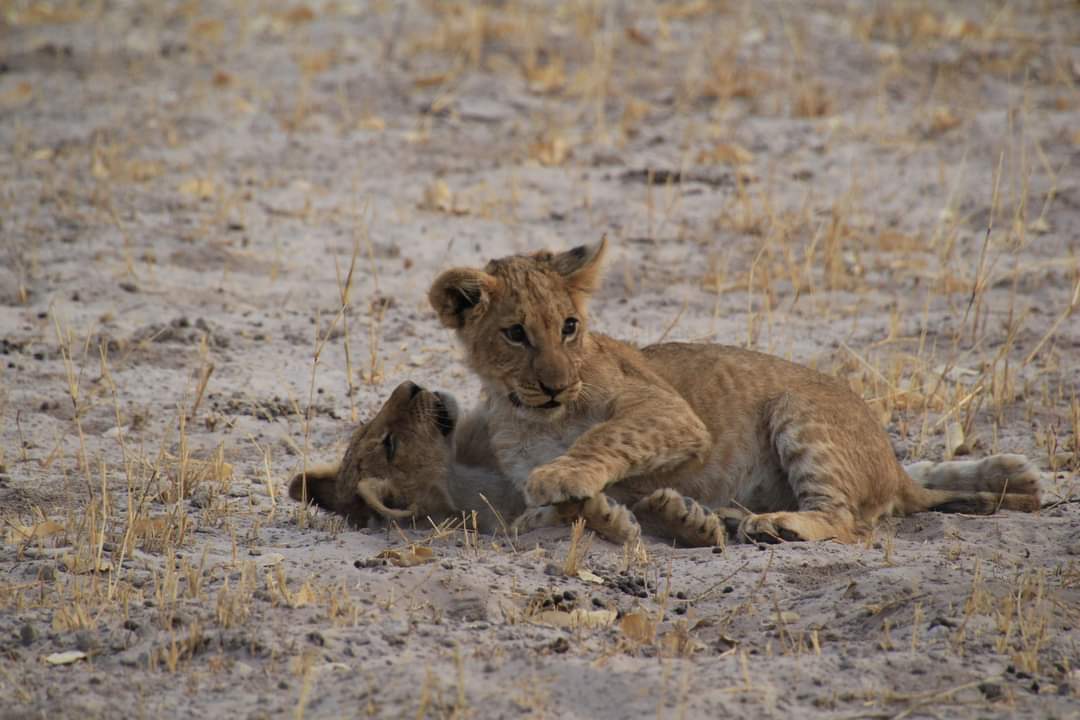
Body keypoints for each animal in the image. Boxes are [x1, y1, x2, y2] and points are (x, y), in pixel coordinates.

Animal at [427, 237, 1041, 544]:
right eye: (515, 333)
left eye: (569, 327)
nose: (556, 386)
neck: (531, 415)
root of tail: (894, 468)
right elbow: (544, 513)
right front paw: (584, 511)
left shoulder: (671, 413)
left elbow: (604, 438)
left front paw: (566, 476)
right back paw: (719, 517)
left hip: (798, 410)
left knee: (847, 521)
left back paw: (776, 525)